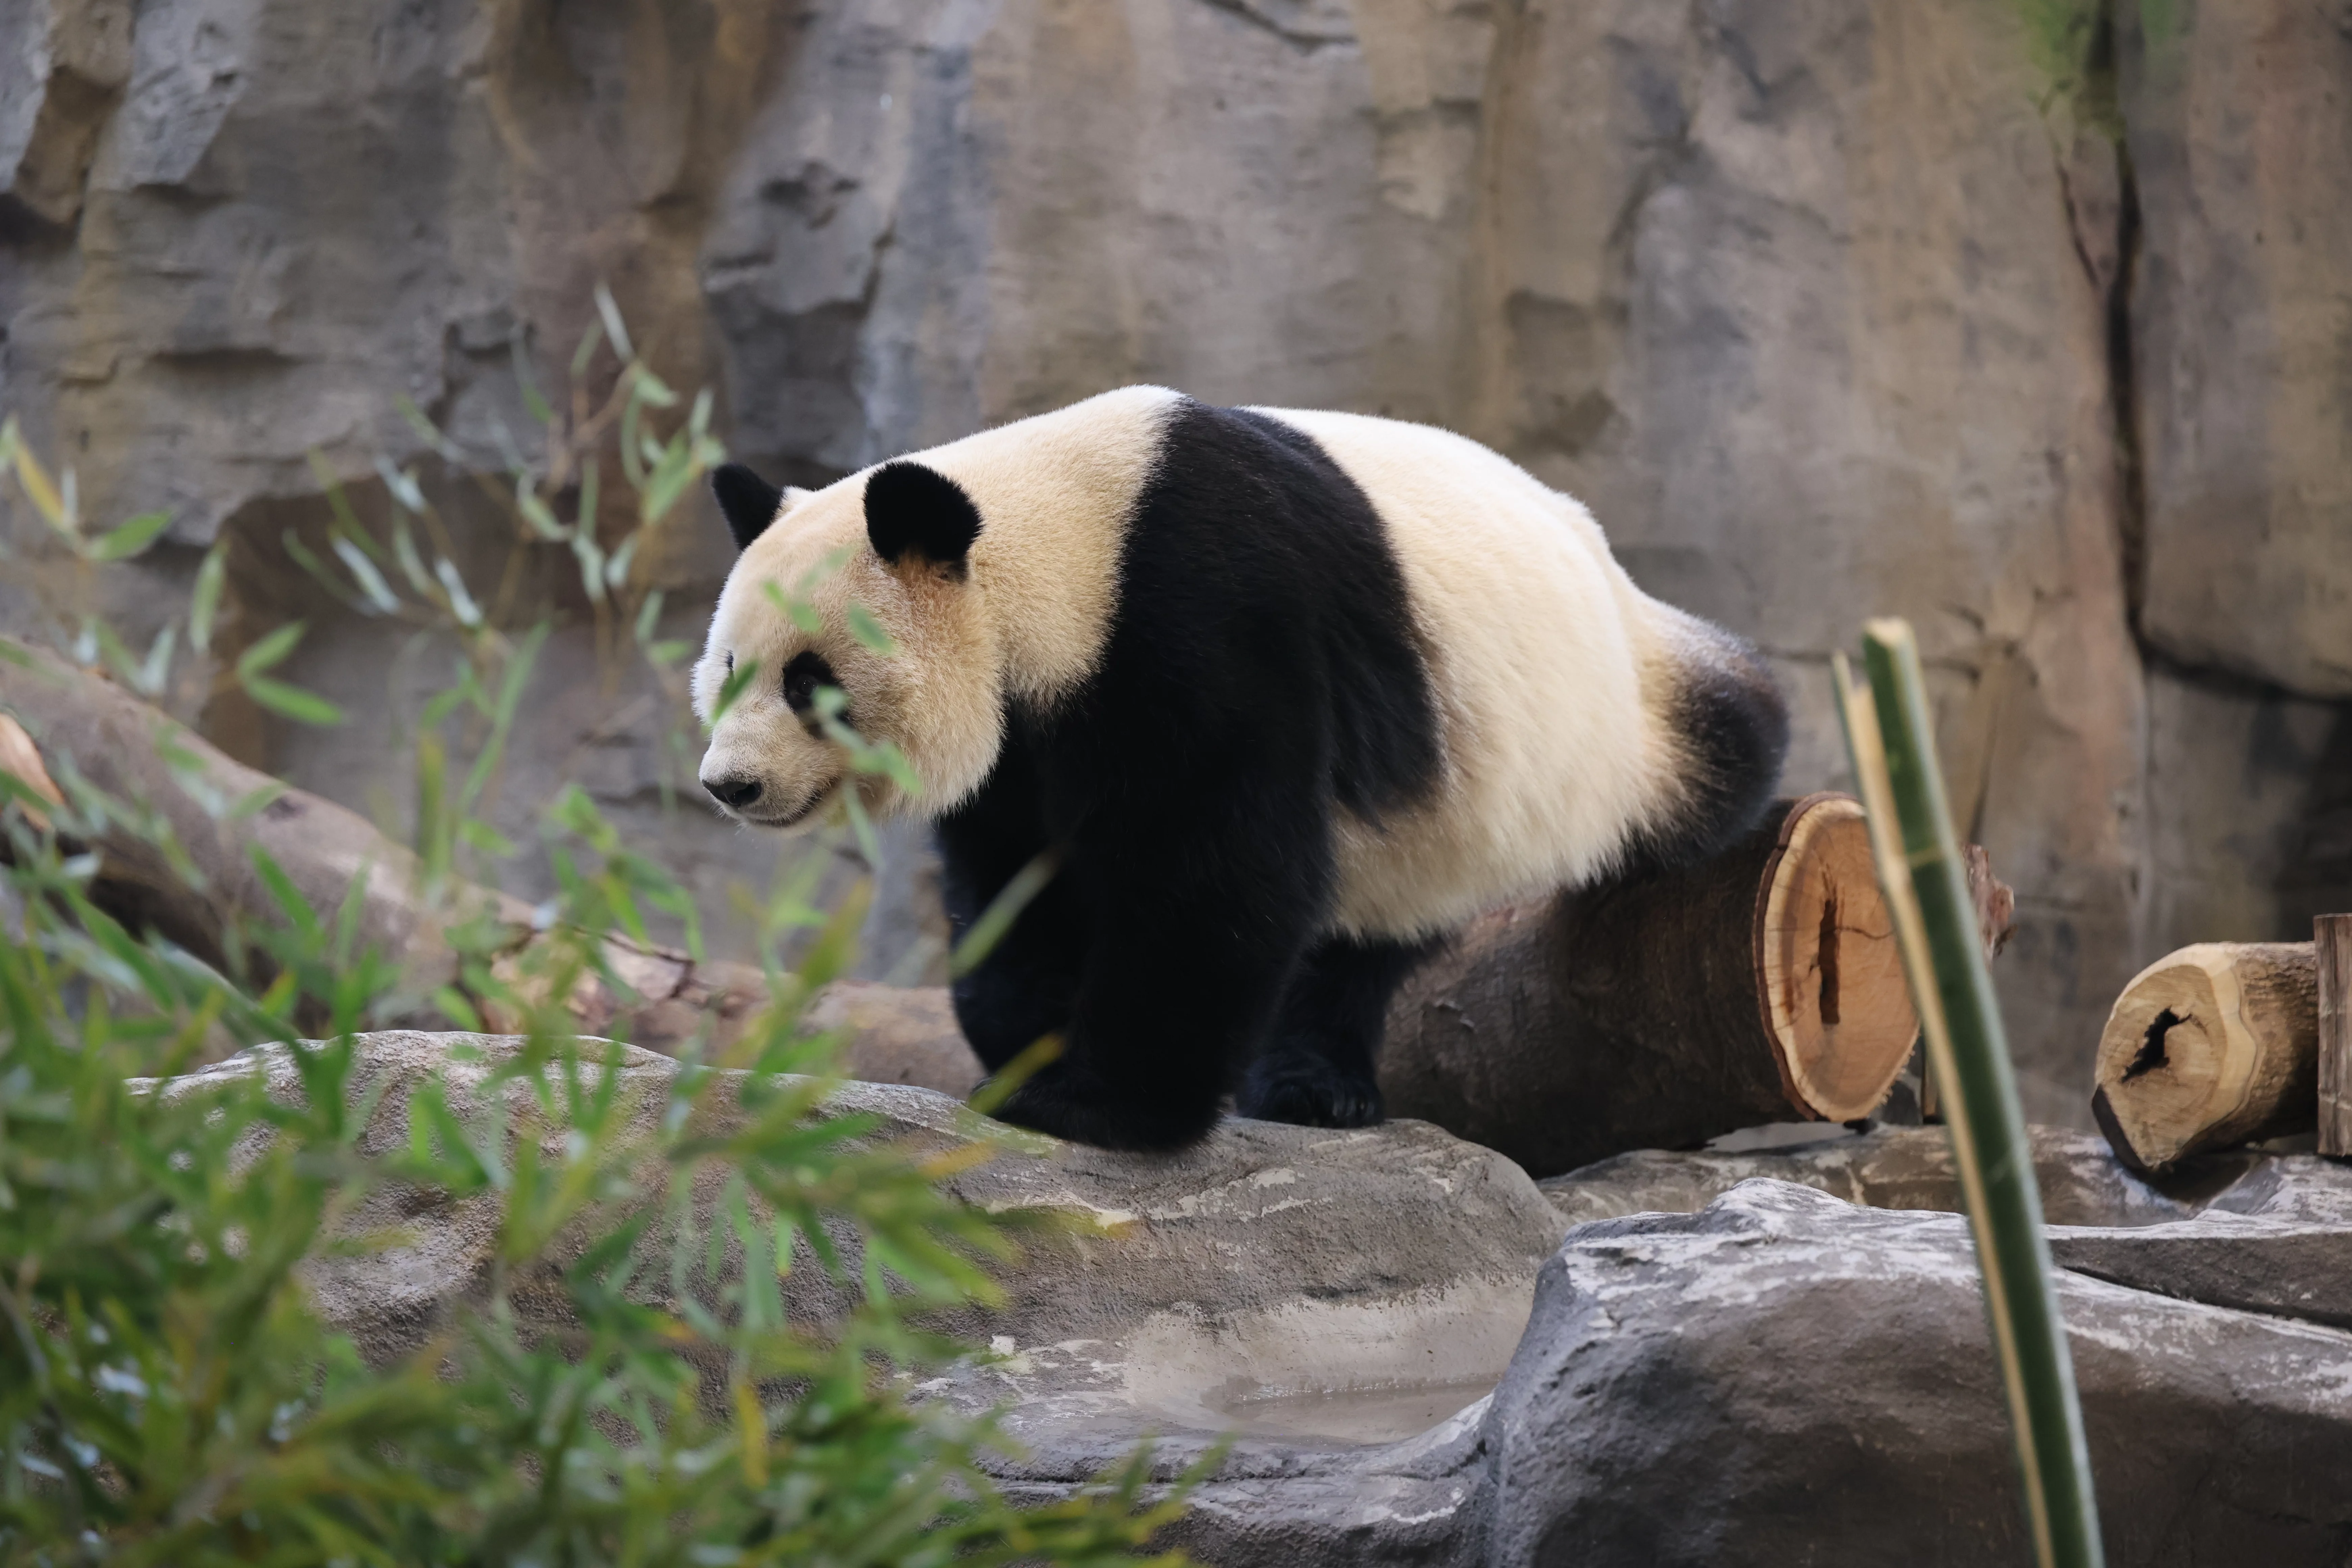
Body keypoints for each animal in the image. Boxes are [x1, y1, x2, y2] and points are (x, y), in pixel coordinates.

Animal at [694, 386, 1787, 1150]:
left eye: (810, 681)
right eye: (729, 666)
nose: (729, 785)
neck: (1065, 537)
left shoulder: (1204, 613)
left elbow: (1215, 870)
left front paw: (1092, 1105)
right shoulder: (1031, 732)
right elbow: (1016, 880)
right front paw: (1028, 1042)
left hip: (1602, 722)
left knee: (1723, 743)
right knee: (1363, 934)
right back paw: (1313, 1082)